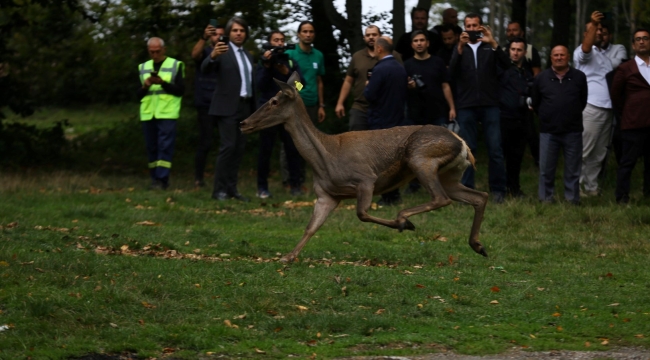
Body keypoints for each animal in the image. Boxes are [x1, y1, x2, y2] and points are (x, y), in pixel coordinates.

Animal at [240, 73, 488, 262]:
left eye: (274, 101)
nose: (243, 123)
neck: (326, 159)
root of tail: (463, 144)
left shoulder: (365, 178)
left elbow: (361, 213)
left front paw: (405, 225)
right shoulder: (326, 195)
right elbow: (311, 227)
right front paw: (288, 256)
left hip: (421, 157)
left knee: (440, 198)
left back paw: (404, 218)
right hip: (449, 174)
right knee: (479, 196)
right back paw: (478, 245)